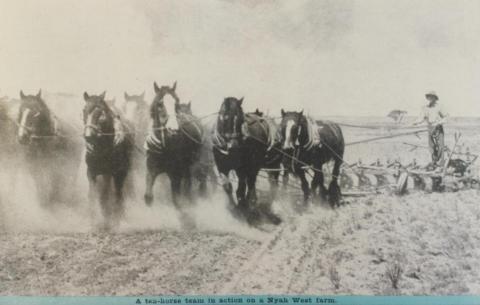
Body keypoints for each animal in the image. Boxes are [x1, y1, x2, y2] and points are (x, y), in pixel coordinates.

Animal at [82, 90, 131, 223]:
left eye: (100, 112)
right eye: (84, 110)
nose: (88, 136)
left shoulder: (118, 173)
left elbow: (115, 195)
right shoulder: (91, 172)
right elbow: (93, 194)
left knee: (116, 193)